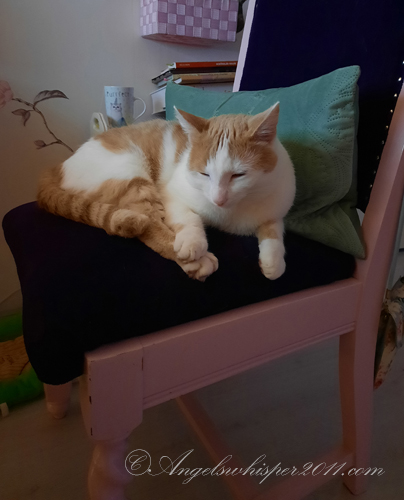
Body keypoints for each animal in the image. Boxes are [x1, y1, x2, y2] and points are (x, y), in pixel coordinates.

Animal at [37, 104, 296, 282]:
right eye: (204, 174)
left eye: (238, 175)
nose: (218, 199)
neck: (229, 214)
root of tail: (56, 168)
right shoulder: (171, 195)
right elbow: (188, 219)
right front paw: (192, 243)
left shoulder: (275, 211)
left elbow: (274, 231)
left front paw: (273, 262)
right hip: (131, 175)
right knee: (148, 225)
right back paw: (196, 261)